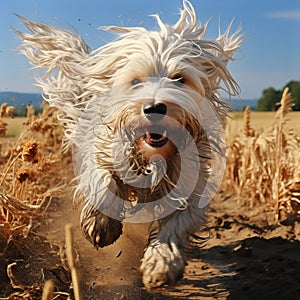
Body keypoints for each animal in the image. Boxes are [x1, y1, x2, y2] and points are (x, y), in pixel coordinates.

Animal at [16, 1, 243, 290]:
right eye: (136, 81)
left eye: (179, 79)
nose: (154, 108)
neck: (153, 157)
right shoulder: (104, 151)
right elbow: (103, 181)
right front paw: (101, 224)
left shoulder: (190, 184)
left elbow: (175, 225)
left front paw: (161, 263)